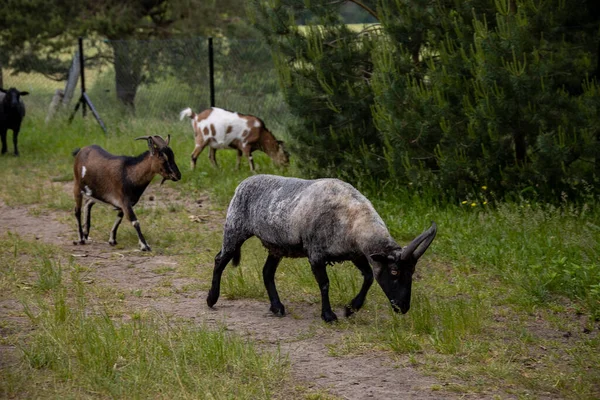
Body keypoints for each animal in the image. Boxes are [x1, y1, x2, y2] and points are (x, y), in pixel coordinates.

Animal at [206, 175, 436, 322]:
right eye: (395, 271)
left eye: (412, 272)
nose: (404, 308)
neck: (354, 220)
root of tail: (244, 181)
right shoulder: (316, 254)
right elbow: (325, 284)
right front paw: (329, 316)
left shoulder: (355, 254)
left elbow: (369, 277)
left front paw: (351, 309)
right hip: (235, 227)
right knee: (220, 259)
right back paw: (211, 299)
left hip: (277, 246)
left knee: (267, 272)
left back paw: (277, 307)